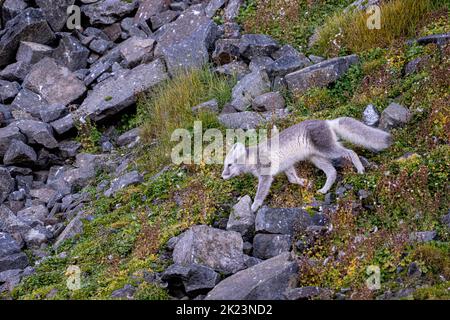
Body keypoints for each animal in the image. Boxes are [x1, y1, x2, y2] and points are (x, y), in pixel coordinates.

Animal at [223, 117, 392, 212]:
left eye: (229, 165)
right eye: (224, 165)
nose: (222, 176)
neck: (253, 158)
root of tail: (327, 122)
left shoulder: (265, 175)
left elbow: (260, 193)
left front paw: (254, 207)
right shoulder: (287, 166)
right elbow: (292, 178)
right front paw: (303, 182)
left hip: (328, 150)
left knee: (350, 152)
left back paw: (360, 169)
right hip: (316, 157)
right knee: (332, 172)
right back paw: (323, 190)